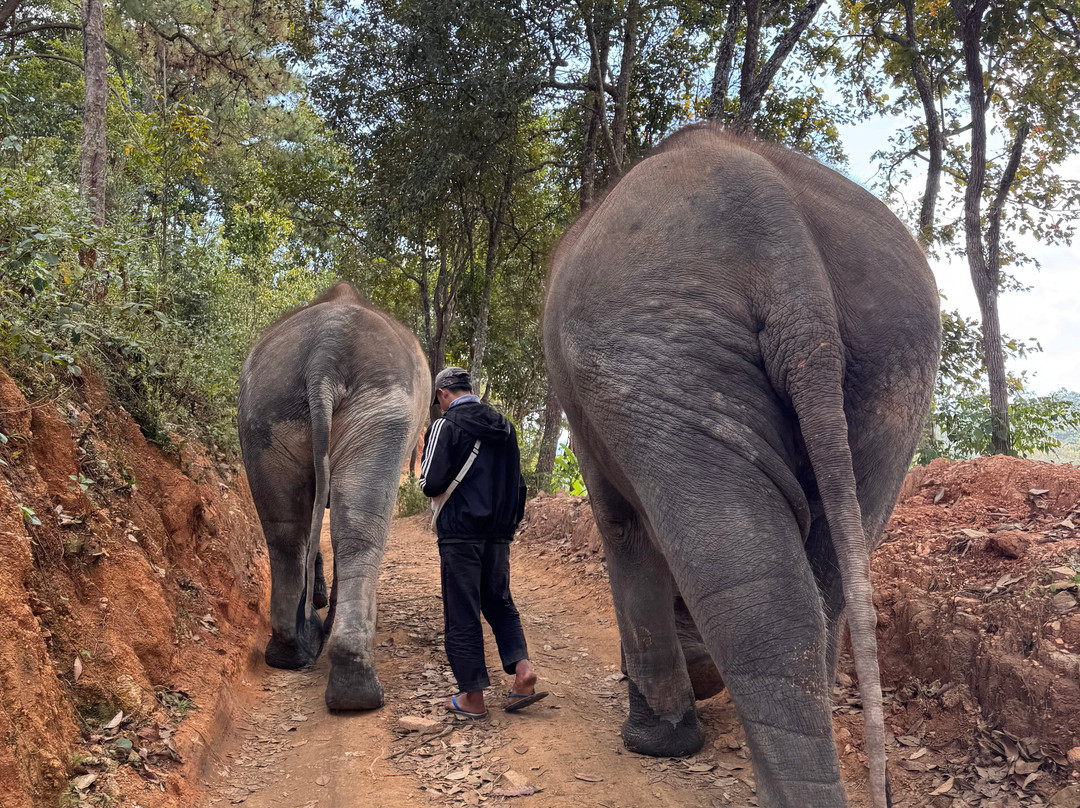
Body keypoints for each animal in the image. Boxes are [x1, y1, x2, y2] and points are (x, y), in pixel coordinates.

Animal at [238, 281, 429, 710]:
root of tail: (326, 350)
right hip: (382, 414)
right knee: (358, 535)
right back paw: (357, 691)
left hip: (265, 410)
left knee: (285, 532)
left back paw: (294, 652)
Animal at [543, 125, 940, 808]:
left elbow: (621, 527)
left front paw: (652, 742)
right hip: (890, 361)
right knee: (825, 583)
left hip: (658, 347)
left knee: (759, 595)